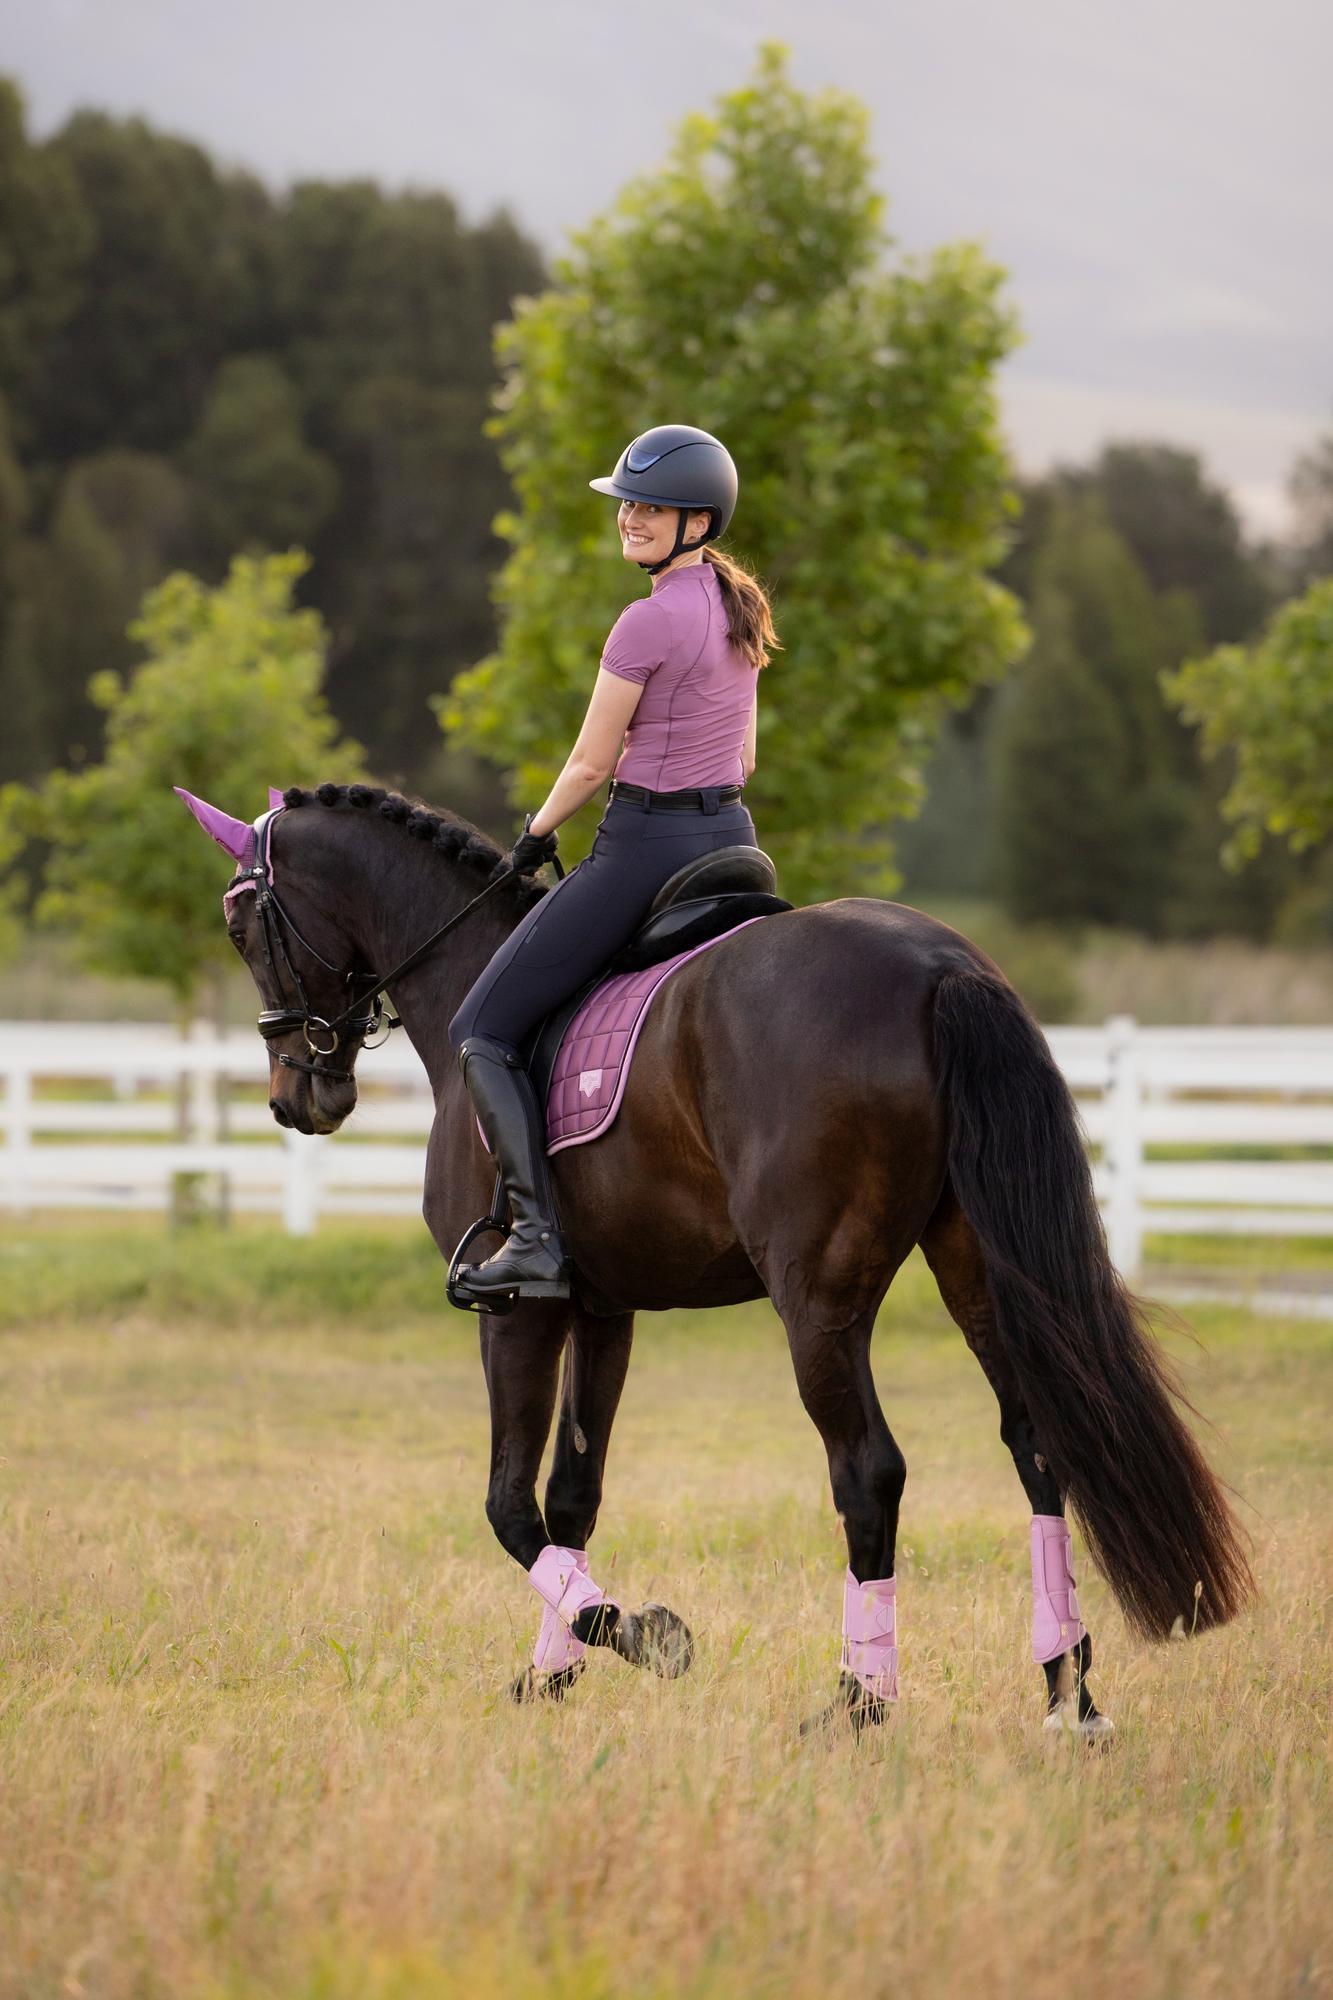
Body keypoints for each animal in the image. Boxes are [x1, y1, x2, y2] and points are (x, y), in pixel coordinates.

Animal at [183, 778, 1254, 1736]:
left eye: (239, 924)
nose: (298, 1097)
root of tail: (937, 965)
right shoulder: (601, 1309)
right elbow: (573, 1496)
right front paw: (552, 1676)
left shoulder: (519, 1307)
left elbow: (506, 1505)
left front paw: (638, 1634)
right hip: (978, 1271)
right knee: (1036, 1444)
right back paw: (1067, 1693)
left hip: (817, 1301)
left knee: (868, 1472)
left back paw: (858, 1700)